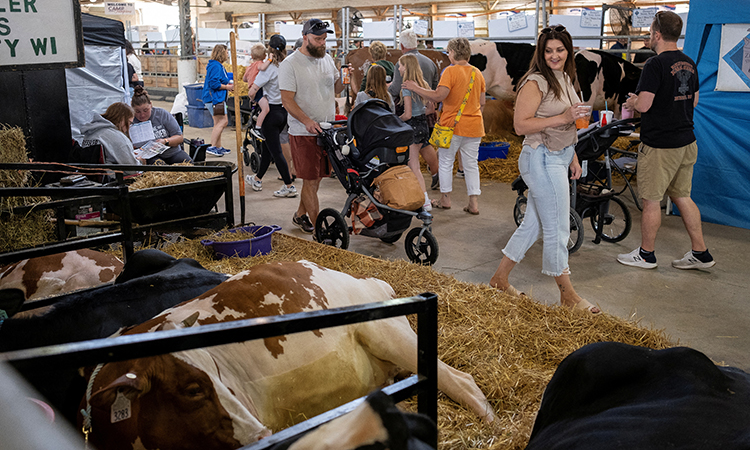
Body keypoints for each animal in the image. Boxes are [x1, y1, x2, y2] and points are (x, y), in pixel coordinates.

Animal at [81, 260, 494, 450]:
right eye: (194, 389)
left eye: (214, 379)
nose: (259, 433)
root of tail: (363, 278)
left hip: (389, 334)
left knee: (460, 380)